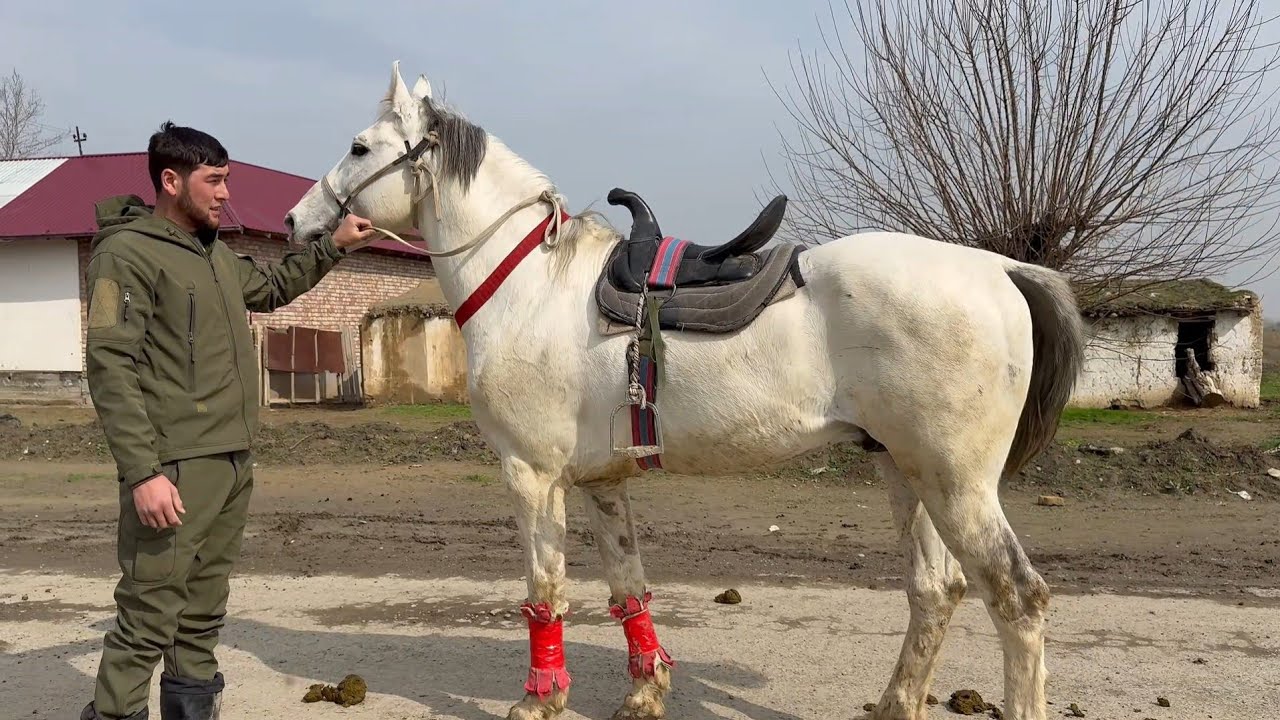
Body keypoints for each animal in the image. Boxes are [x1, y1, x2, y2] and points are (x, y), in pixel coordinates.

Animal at [284, 61, 1084, 720]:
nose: (297, 219)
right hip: (904, 470)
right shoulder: (601, 483)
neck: (529, 285)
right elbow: (627, 587)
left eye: (359, 148)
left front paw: (539, 701)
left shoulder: (530, 477)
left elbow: (545, 592)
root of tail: (1000, 268)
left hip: (955, 482)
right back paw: (893, 706)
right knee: (935, 591)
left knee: (1018, 599)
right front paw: (644, 693)